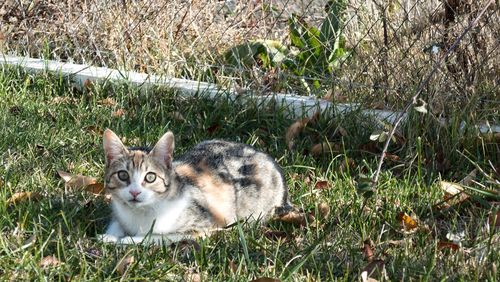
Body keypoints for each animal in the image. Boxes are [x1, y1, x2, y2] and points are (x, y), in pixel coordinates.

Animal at [99, 129, 292, 243]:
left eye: (150, 177)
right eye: (123, 175)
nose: (134, 192)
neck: (140, 213)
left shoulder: (201, 228)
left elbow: (156, 237)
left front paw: (128, 240)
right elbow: (116, 223)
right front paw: (109, 236)